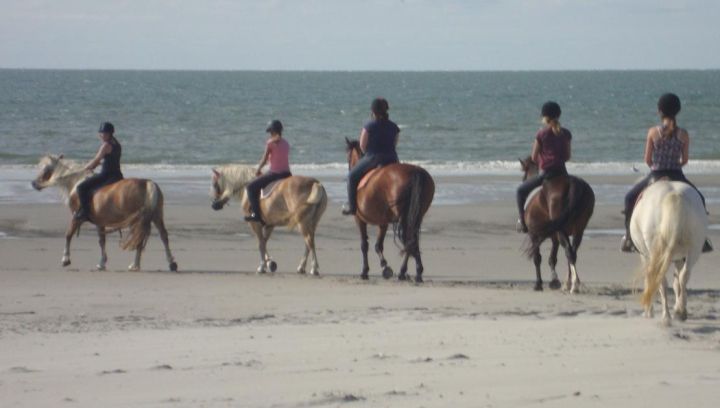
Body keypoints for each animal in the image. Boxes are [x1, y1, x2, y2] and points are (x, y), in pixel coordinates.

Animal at [31, 155, 179, 272]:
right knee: (162, 237)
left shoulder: (76, 217)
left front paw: (65, 259)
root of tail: (148, 183)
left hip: (139, 220)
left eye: (46, 169)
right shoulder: (99, 222)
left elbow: (68, 235)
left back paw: (136, 265)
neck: (76, 182)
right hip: (155, 217)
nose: (33, 183)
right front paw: (102, 263)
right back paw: (168, 263)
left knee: (142, 239)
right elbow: (102, 241)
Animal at [344, 139, 434, 282]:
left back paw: (407, 272)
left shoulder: (359, 219)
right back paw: (413, 272)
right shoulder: (383, 223)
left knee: (409, 240)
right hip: (417, 215)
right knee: (412, 240)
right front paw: (384, 266)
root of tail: (415, 171)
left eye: (348, 156)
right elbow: (378, 245)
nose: (349, 167)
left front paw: (366, 271)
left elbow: (364, 245)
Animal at [520, 157, 592, 294]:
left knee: (569, 252)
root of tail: (572, 183)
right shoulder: (555, 237)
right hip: (578, 230)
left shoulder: (534, 235)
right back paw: (571, 284)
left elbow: (537, 258)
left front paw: (539, 284)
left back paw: (573, 285)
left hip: (561, 230)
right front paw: (555, 281)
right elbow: (552, 258)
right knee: (572, 252)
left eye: (523, 176)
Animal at [632, 180, 708, 326]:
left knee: (660, 279)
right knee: (684, 275)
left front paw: (648, 311)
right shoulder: (679, 258)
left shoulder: (645, 256)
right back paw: (680, 312)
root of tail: (675, 195)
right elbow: (677, 282)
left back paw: (666, 316)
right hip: (694, 248)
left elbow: (649, 280)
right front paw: (679, 306)